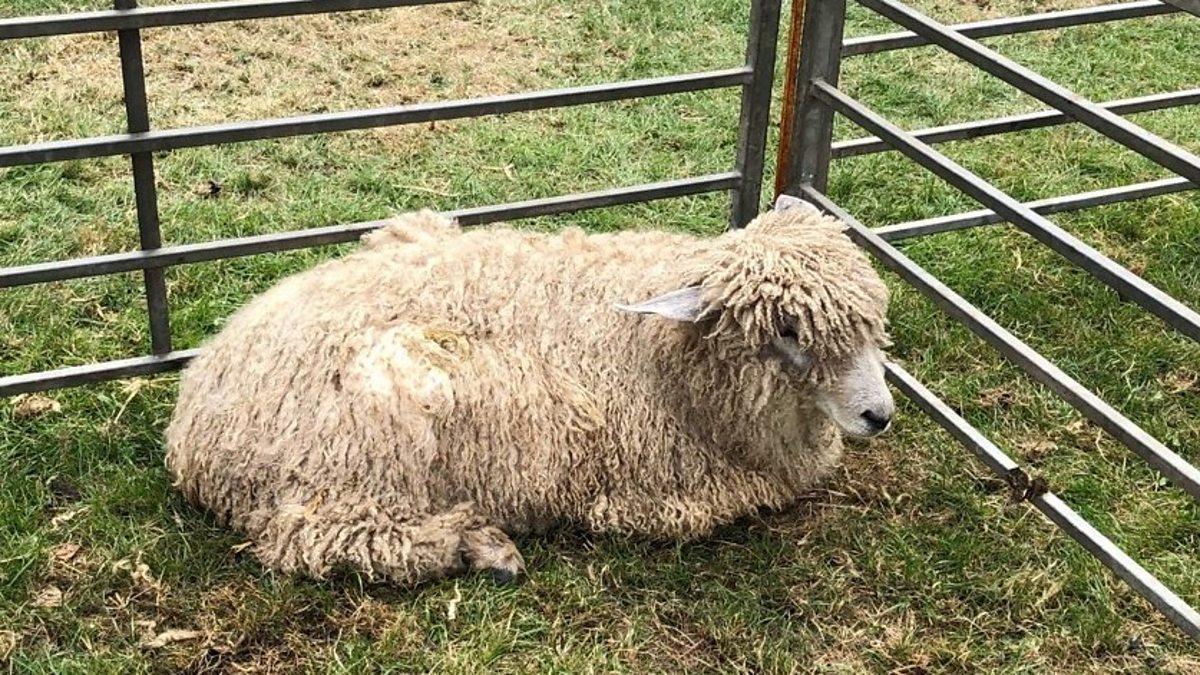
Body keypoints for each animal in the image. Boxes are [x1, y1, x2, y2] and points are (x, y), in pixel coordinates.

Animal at [164, 196, 894, 587]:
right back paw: (479, 546)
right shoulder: (655, 497)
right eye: (787, 329)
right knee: (321, 538)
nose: (879, 414)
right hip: (371, 435)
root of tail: (191, 427)